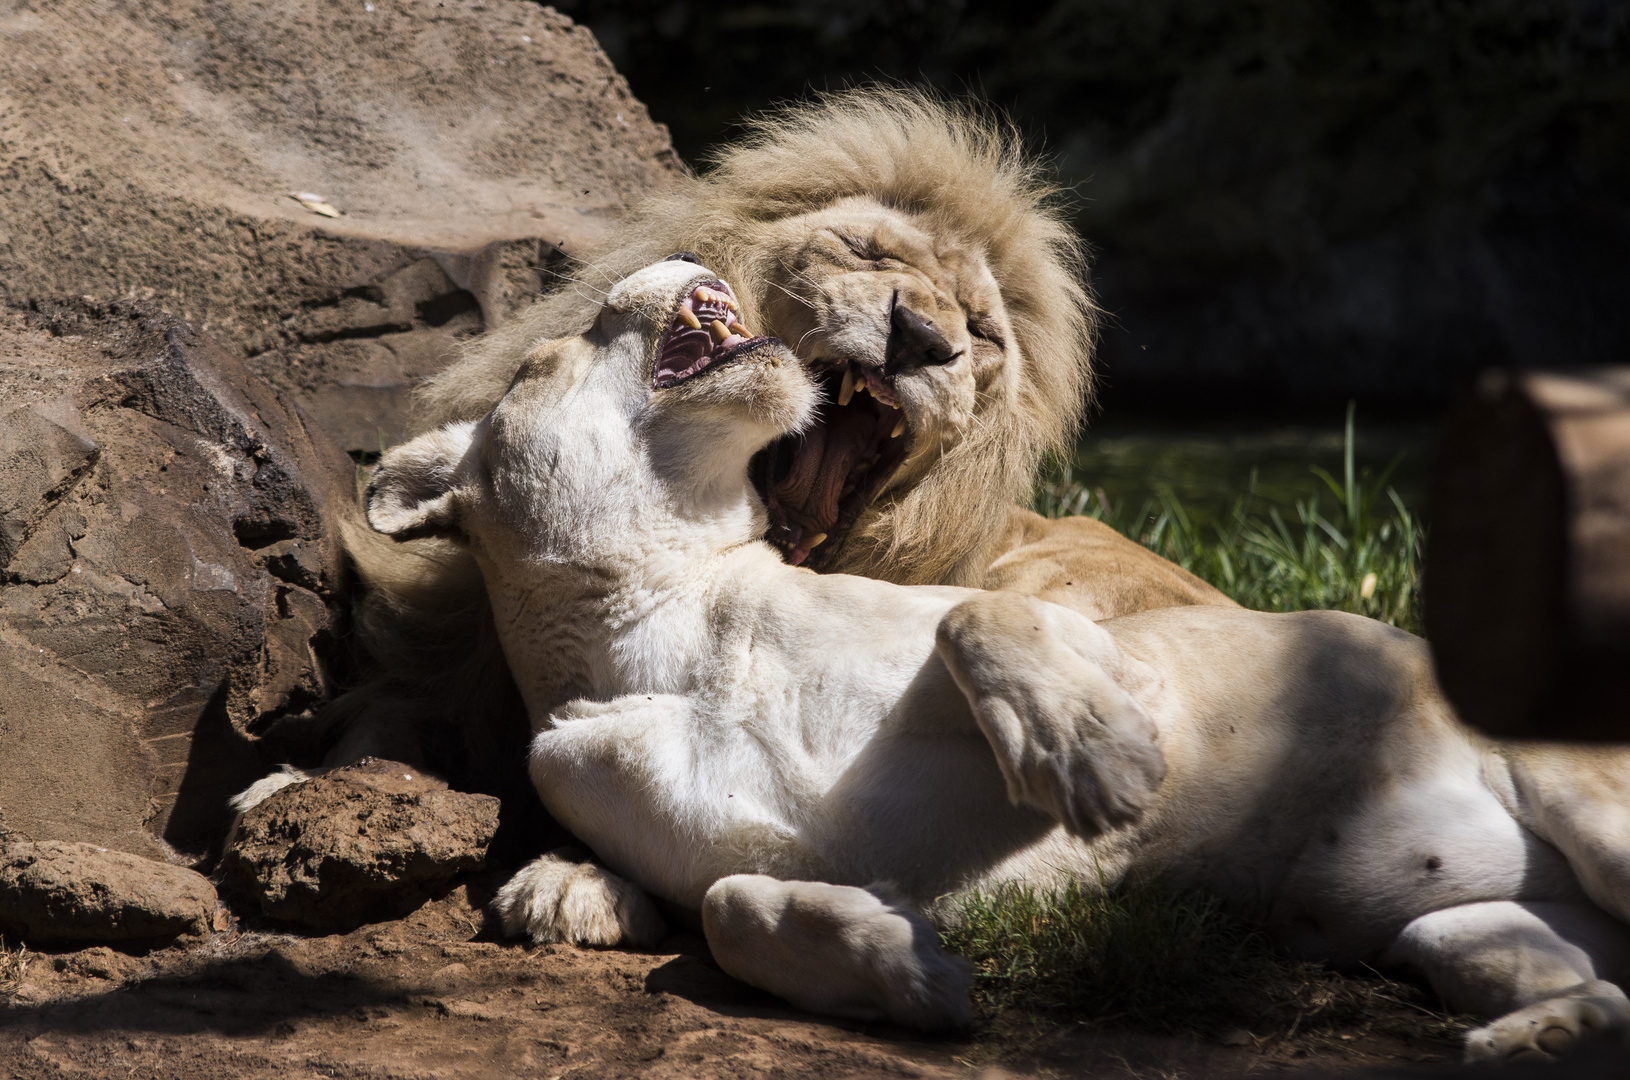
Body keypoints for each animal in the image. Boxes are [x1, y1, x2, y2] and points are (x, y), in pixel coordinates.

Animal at [366, 262, 1630, 1062]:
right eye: (551, 354)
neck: (667, 611)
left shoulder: (1103, 639)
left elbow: (978, 623)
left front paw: (1104, 771)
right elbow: (726, 907)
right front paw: (911, 975)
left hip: (1582, 806)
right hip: (1457, 927)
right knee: (1593, 981)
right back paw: (1537, 1037)